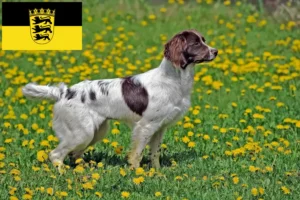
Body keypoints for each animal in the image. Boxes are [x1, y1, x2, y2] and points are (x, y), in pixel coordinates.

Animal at [21, 29, 218, 170]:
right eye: (196, 43)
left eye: (204, 40)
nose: (215, 51)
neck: (173, 79)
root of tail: (64, 92)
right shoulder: (145, 126)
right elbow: (137, 154)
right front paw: (137, 173)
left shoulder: (159, 128)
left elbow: (154, 154)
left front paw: (157, 173)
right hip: (82, 132)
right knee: (56, 155)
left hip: (96, 131)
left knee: (74, 155)